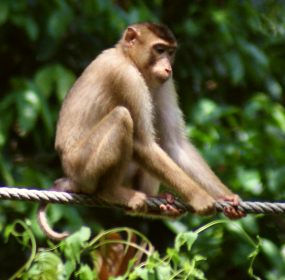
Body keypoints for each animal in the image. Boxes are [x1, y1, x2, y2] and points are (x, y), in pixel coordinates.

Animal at [37, 22, 245, 241]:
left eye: (171, 52)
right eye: (159, 49)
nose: (168, 67)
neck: (127, 57)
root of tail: (70, 176)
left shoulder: (165, 83)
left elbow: (173, 144)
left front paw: (225, 195)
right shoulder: (126, 77)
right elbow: (143, 143)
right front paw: (201, 197)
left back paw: (160, 204)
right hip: (82, 167)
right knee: (122, 118)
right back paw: (110, 193)